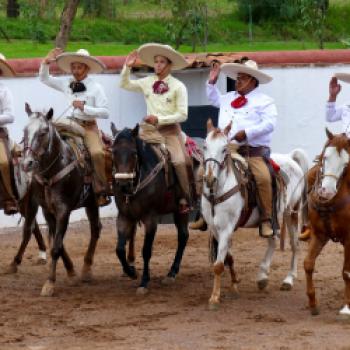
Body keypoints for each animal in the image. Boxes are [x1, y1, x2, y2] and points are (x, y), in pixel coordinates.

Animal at [111, 124, 189, 294]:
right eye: (113, 152)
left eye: (134, 153)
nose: (123, 184)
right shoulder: (124, 216)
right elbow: (119, 249)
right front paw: (131, 272)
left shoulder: (151, 219)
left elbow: (146, 251)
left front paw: (144, 282)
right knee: (184, 236)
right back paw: (172, 272)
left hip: (184, 210)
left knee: (184, 236)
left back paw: (172, 273)